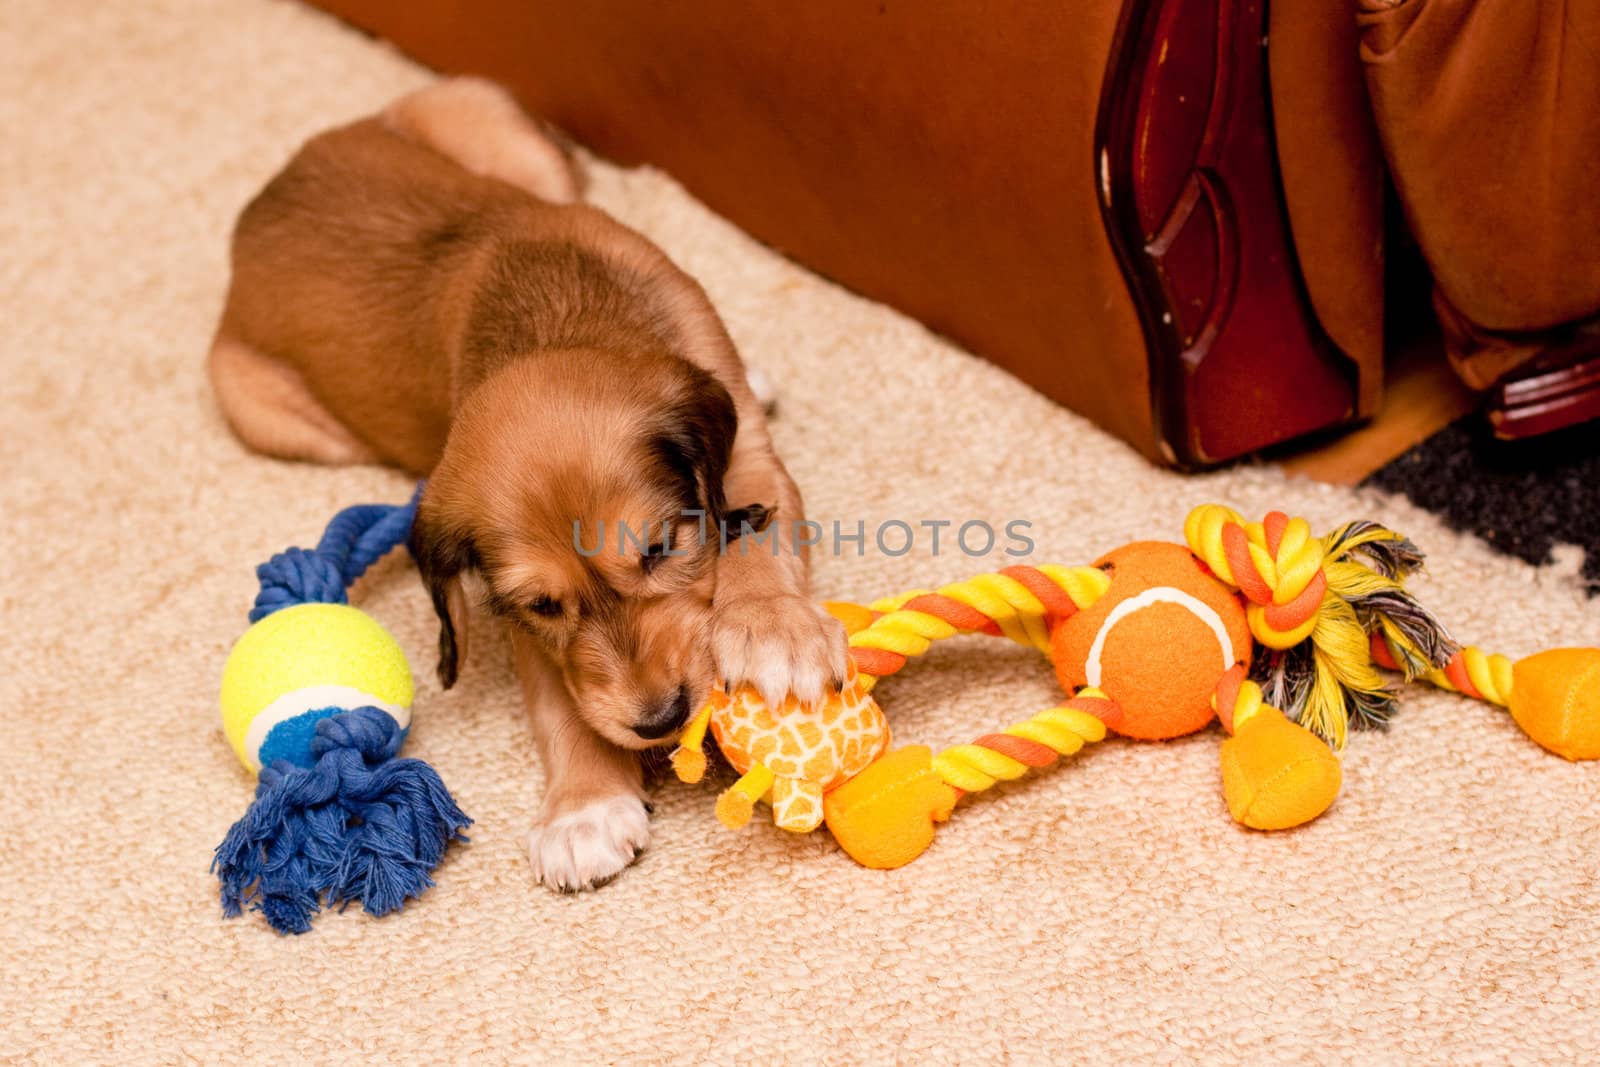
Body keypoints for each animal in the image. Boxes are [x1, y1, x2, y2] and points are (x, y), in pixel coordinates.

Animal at [212, 79, 851, 889]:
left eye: (660, 550)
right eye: (544, 605)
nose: (659, 720)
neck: (560, 321)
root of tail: (263, 199)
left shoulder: (749, 465)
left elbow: (755, 542)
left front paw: (774, 632)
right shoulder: (524, 626)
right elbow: (561, 703)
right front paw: (583, 806)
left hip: (491, 123)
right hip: (266, 414)